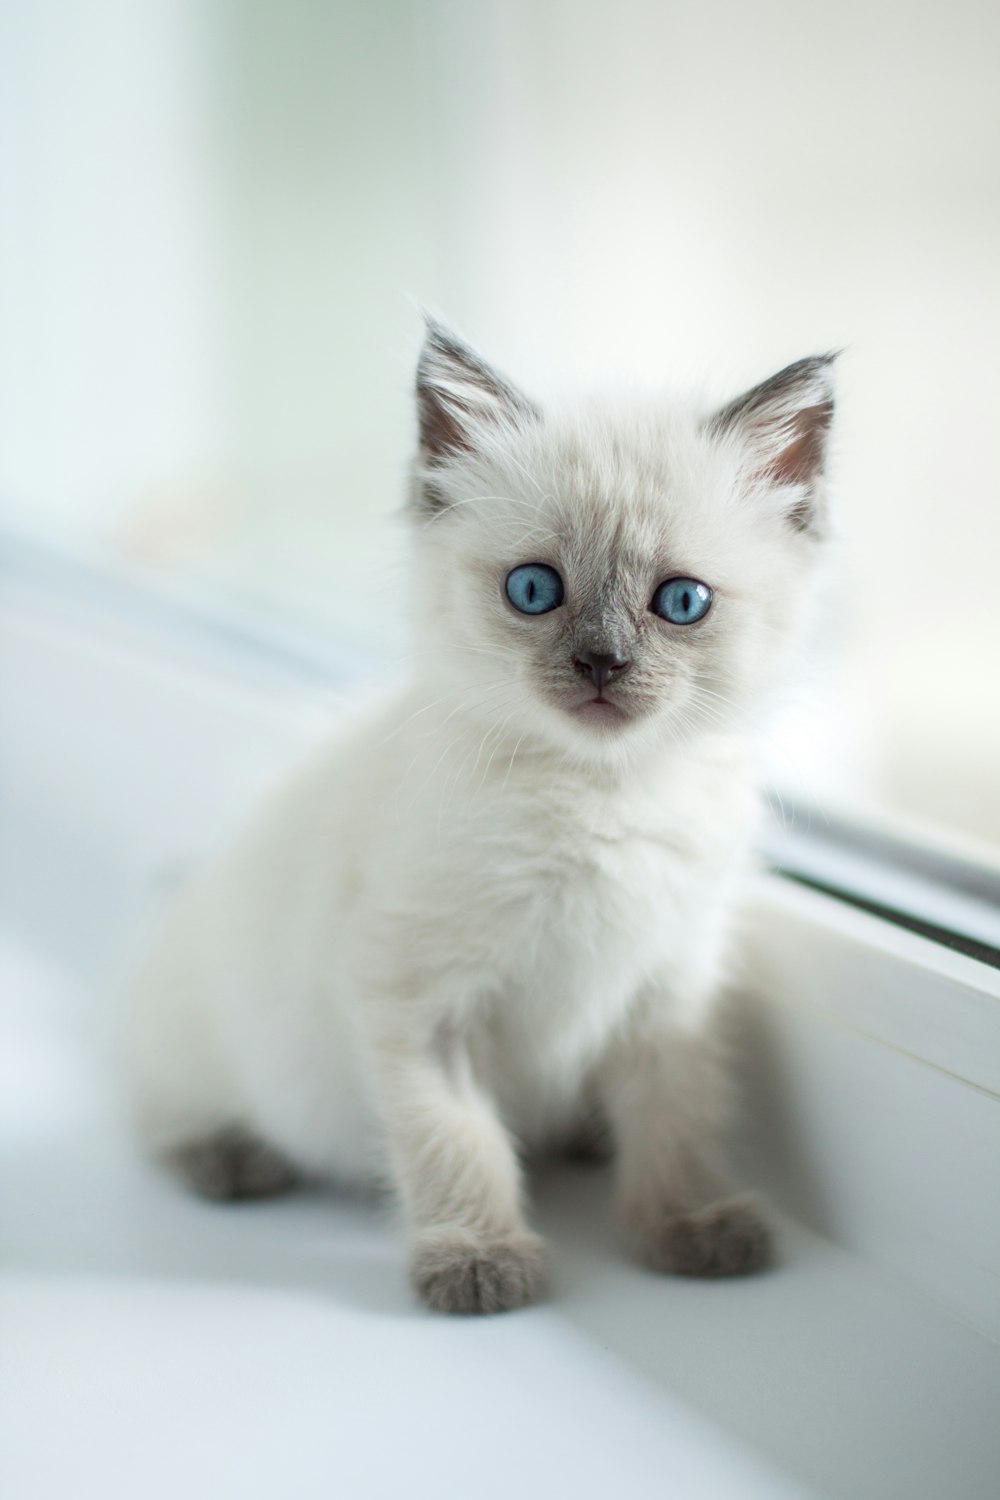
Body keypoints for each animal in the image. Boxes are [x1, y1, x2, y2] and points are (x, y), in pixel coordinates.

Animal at [127, 319, 839, 1314]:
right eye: (534, 590)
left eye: (682, 602)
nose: (603, 664)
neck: (600, 793)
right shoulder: (418, 1004)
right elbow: (457, 1141)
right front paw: (477, 1262)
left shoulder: (670, 993)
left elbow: (677, 1120)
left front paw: (686, 1226)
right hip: (204, 1034)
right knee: (159, 1107)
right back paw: (231, 1158)